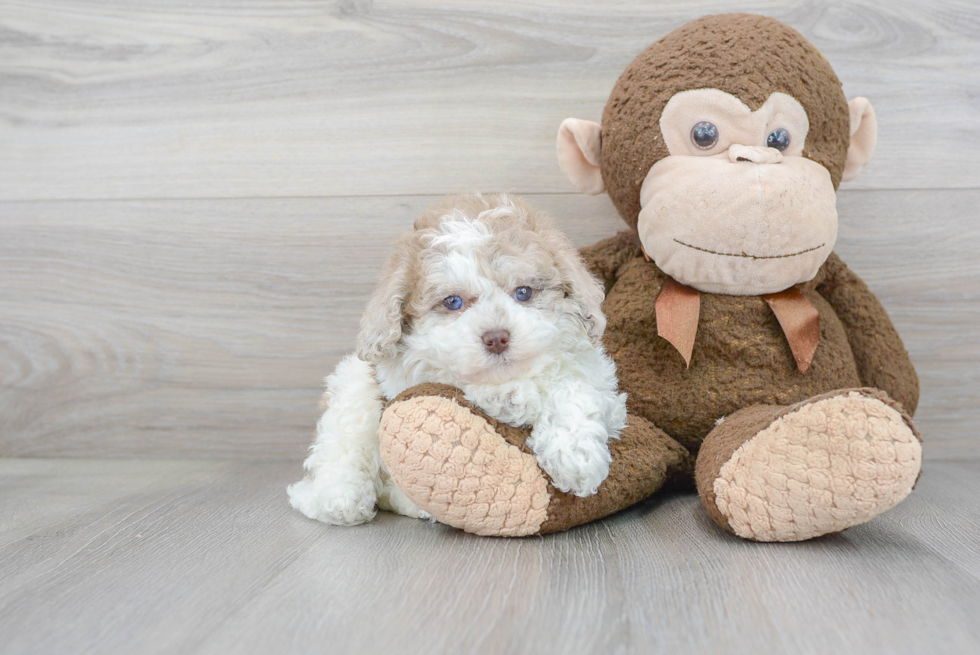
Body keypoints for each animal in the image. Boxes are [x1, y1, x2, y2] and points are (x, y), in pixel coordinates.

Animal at [290, 195, 628, 528]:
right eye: (453, 302)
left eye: (523, 292)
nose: (496, 338)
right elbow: (457, 379)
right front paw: (508, 396)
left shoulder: (601, 385)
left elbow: (576, 390)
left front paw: (576, 457)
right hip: (352, 381)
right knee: (344, 443)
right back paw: (340, 498)